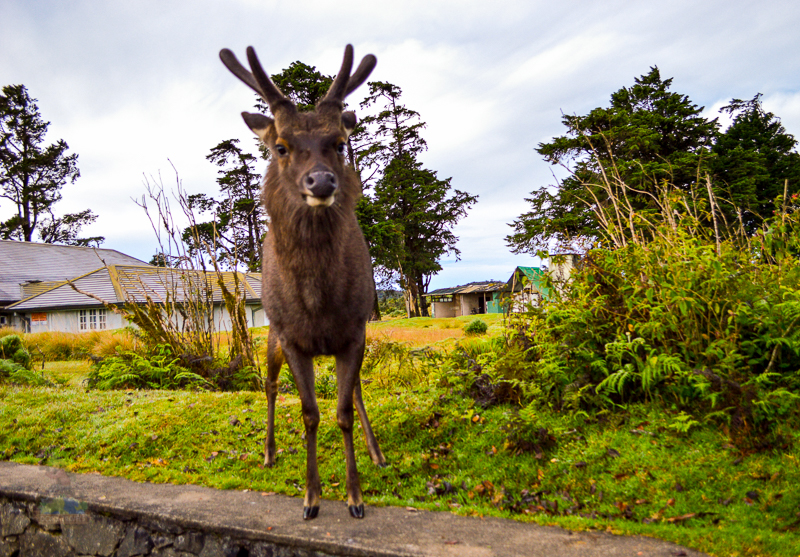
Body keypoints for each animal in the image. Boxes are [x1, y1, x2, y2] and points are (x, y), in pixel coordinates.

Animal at [219, 45, 388, 520]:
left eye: (339, 144)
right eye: (281, 146)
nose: (322, 181)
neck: (317, 303)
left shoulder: (354, 331)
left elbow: (344, 410)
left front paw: (355, 496)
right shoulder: (293, 337)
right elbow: (310, 413)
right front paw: (312, 498)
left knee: (358, 390)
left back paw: (376, 452)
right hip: (270, 334)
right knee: (270, 386)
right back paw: (269, 452)